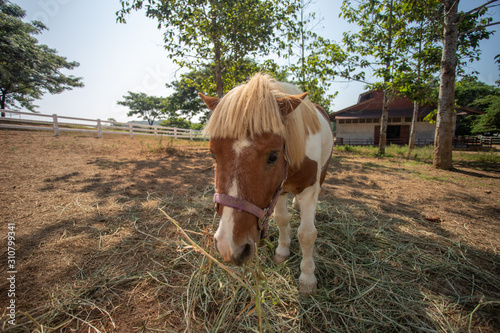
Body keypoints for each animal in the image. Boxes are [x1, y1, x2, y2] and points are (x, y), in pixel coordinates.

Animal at [198, 73, 332, 294]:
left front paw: (307, 277)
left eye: (273, 156)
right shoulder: (279, 190)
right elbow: (282, 220)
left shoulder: (309, 190)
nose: (229, 247)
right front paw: (282, 251)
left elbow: (306, 234)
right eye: (212, 154)